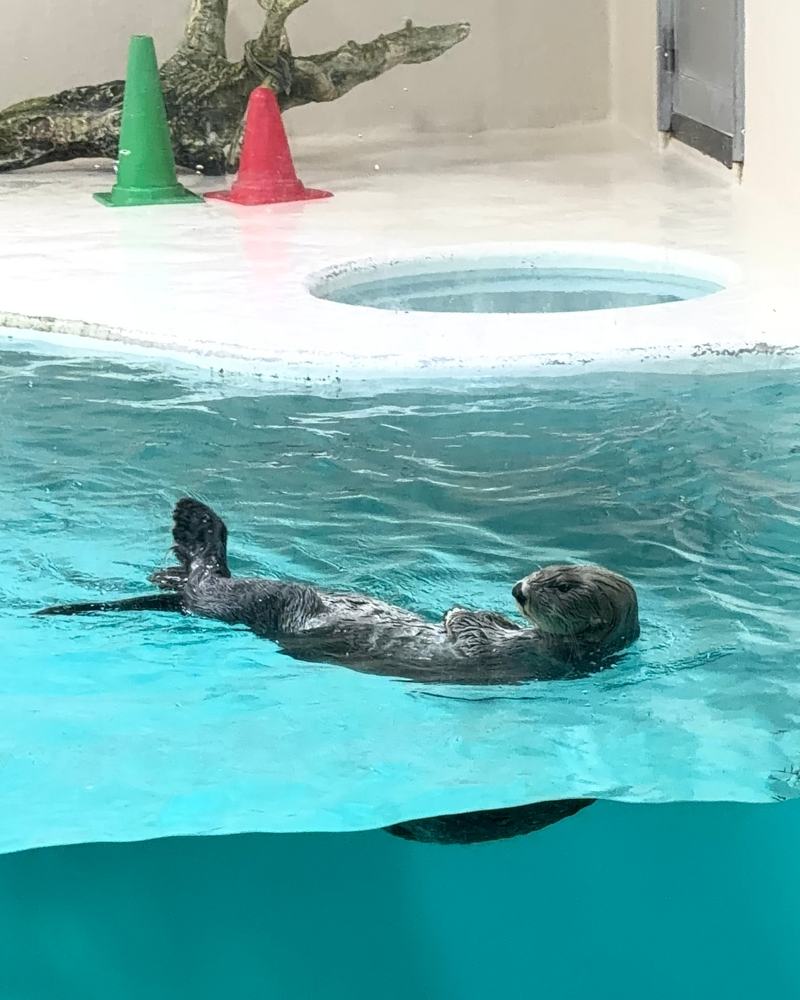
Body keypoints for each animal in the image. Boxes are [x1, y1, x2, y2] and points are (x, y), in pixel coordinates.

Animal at [37, 498, 640, 686]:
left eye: (560, 585)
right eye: (544, 568)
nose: (517, 588)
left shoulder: (517, 658)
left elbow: (468, 637)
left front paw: (457, 611)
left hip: (265, 600)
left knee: (212, 580)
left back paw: (196, 528)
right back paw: (172, 564)